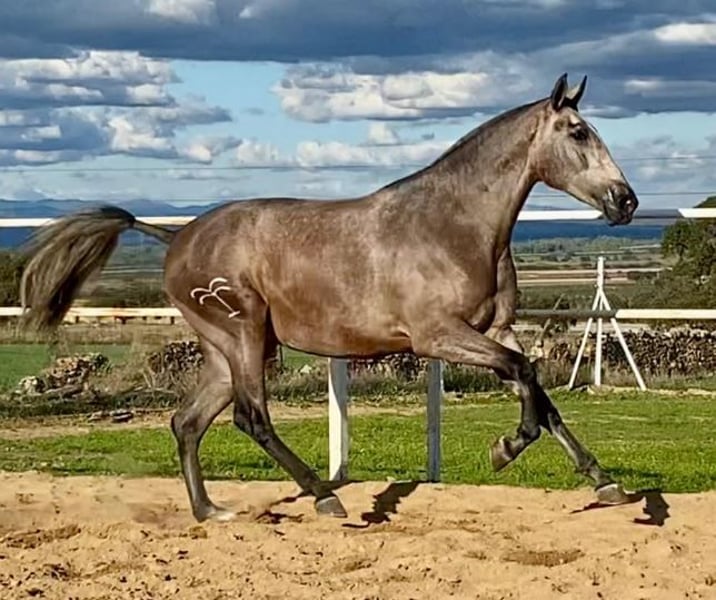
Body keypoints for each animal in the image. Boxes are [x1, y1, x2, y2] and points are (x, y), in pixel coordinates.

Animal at [19, 73, 639, 523]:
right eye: (578, 132)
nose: (625, 201)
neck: (452, 226)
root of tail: (175, 239)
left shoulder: (494, 330)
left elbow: (541, 393)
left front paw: (605, 482)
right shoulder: (439, 336)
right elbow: (527, 377)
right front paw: (506, 448)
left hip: (223, 349)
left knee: (187, 422)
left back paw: (210, 511)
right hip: (244, 335)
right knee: (251, 418)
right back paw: (324, 496)